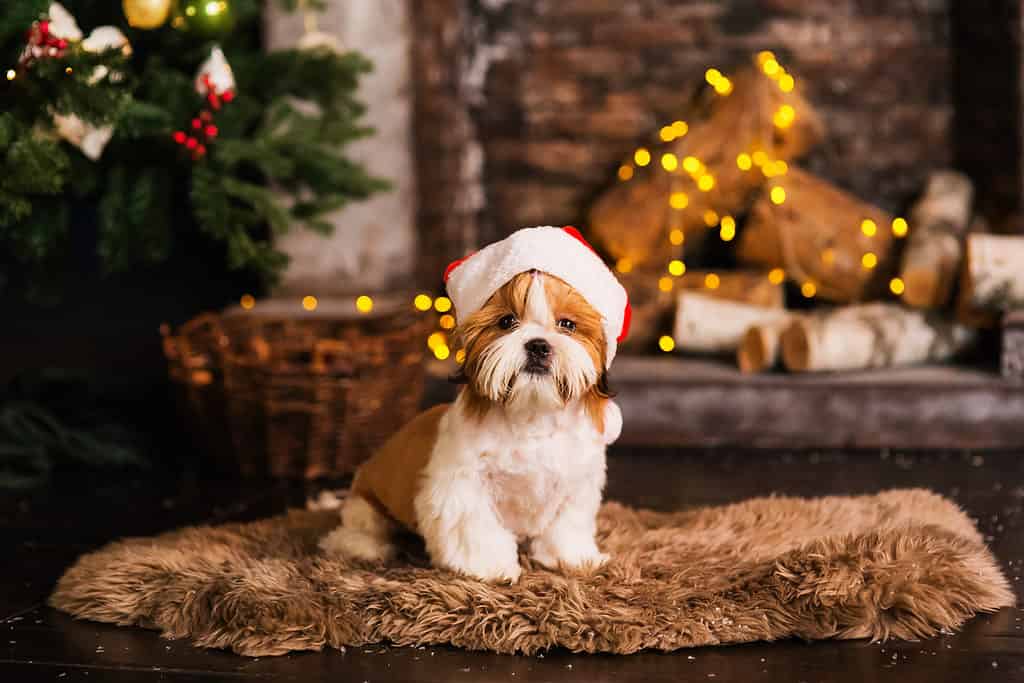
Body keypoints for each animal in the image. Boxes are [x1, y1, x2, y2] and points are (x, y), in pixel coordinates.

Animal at [319, 225, 626, 581]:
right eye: (506, 322)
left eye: (567, 325)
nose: (538, 345)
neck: (531, 417)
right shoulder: (462, 488)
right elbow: (475, 527)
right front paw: (490, 567)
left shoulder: (577, 484)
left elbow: (565, 525)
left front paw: (572, 558)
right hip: (366, 505)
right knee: (355, 530)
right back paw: (366, 547)